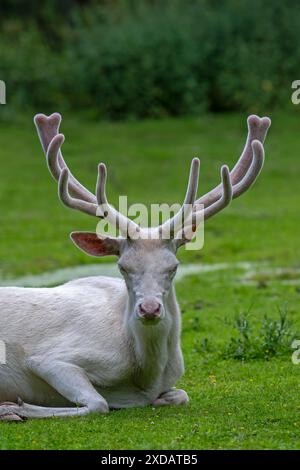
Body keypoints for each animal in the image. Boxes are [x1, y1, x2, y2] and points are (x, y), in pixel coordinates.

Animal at [0, 114, 270, 422]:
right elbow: (98, 403)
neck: (145, 373)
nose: (149, 309)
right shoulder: (49, 358)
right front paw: (11, 408)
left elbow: (182, 395)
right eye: (123, 267)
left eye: (173, 267)